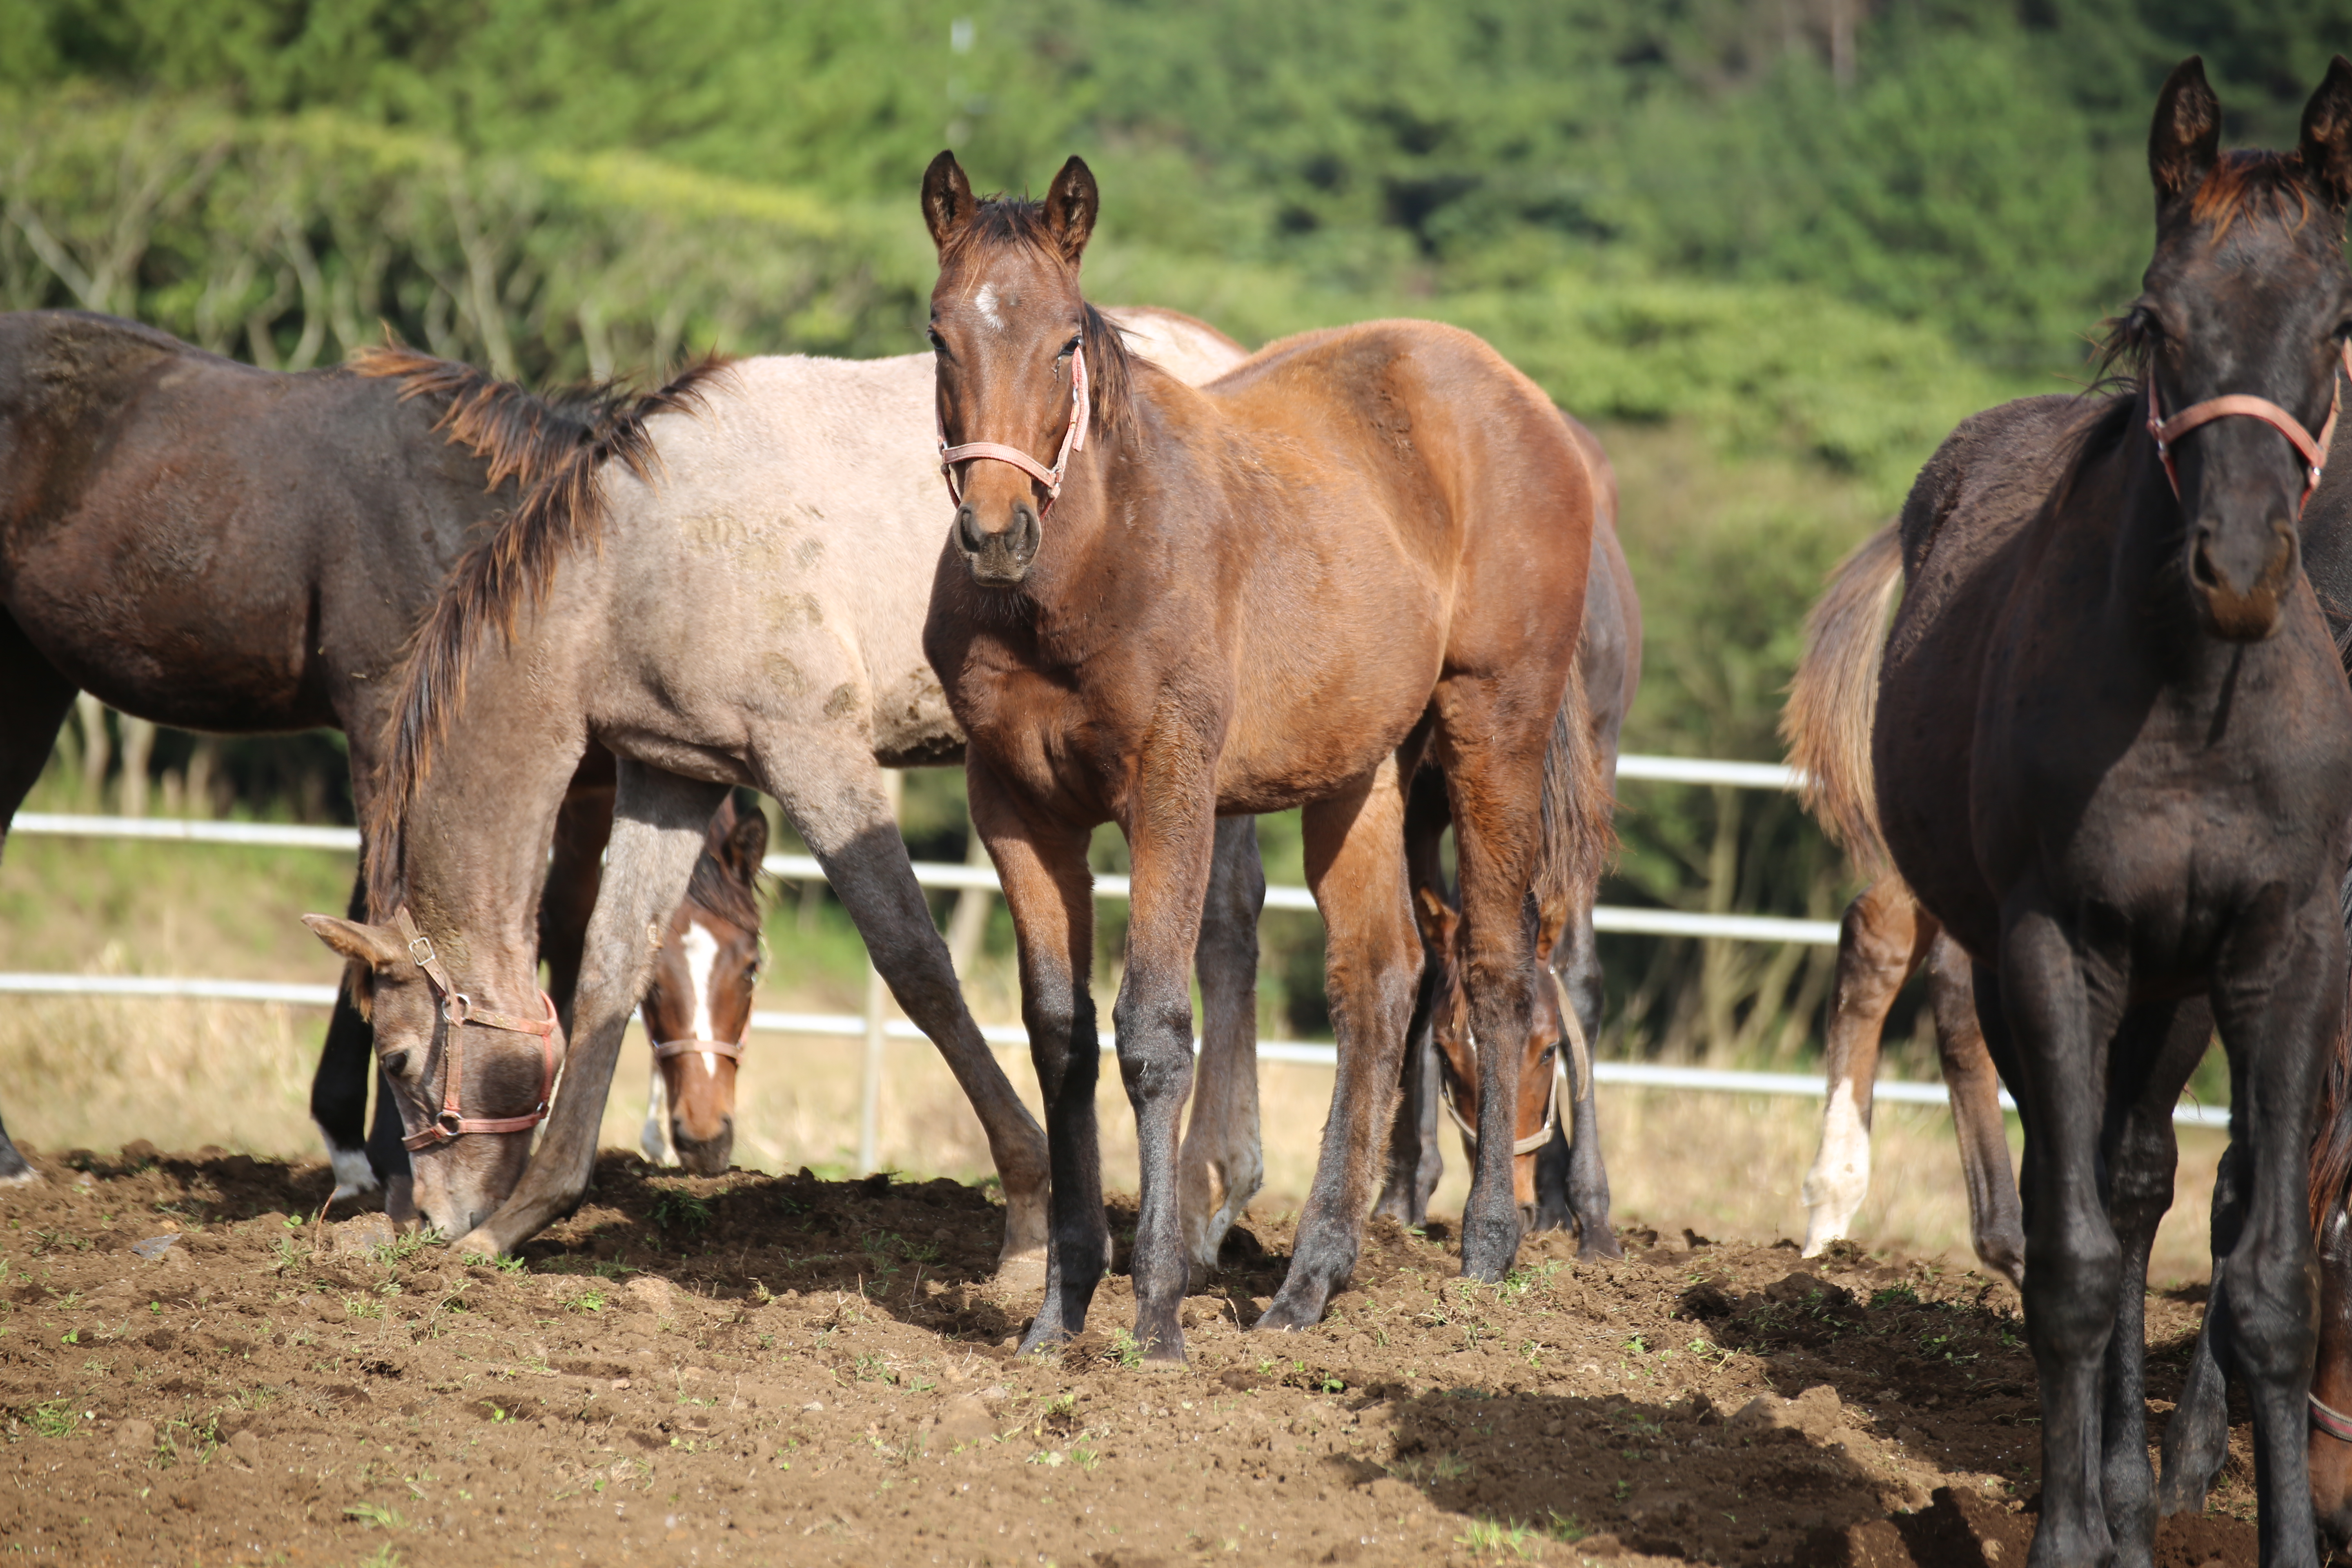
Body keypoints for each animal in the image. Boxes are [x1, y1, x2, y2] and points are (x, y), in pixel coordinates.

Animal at [308, 305, 1289, 1260]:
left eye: (397, 1061)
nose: (434, 1219)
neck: (640, 562)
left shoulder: (815, 753)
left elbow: (917, 968)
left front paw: (1030, 1208)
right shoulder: (670, 775)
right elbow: (609, 974)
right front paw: (528, 1215)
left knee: (1224, 932)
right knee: (1232, 928)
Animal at [912, 153, 1599, 1363]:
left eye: (1065, 342)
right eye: (940, 334)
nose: (995, 532)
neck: (1088, 568)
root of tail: (1527, 406)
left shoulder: (1171, 791)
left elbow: (1152, 1031)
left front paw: (1153, 1312)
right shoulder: (1016, 808)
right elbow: (1060, 1037)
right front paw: (1058, 1309)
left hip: (1491, 732)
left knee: (1496, 967)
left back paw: (1485, 1248)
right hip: (1361, 777)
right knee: (1378, 981)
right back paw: (1307, 1282)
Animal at [1797, 58, 2352, 1568]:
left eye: (2340, 323)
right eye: (2161, 319)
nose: (2239, 564)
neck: (2196, 708)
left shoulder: (2283, 957)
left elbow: (2265, 1266)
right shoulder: (2056, 949)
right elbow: (2078, 1265)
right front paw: (2076, 1530)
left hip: (2169, 991)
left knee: (2134, 1171)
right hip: (2039, 966)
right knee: (2070, 1181)